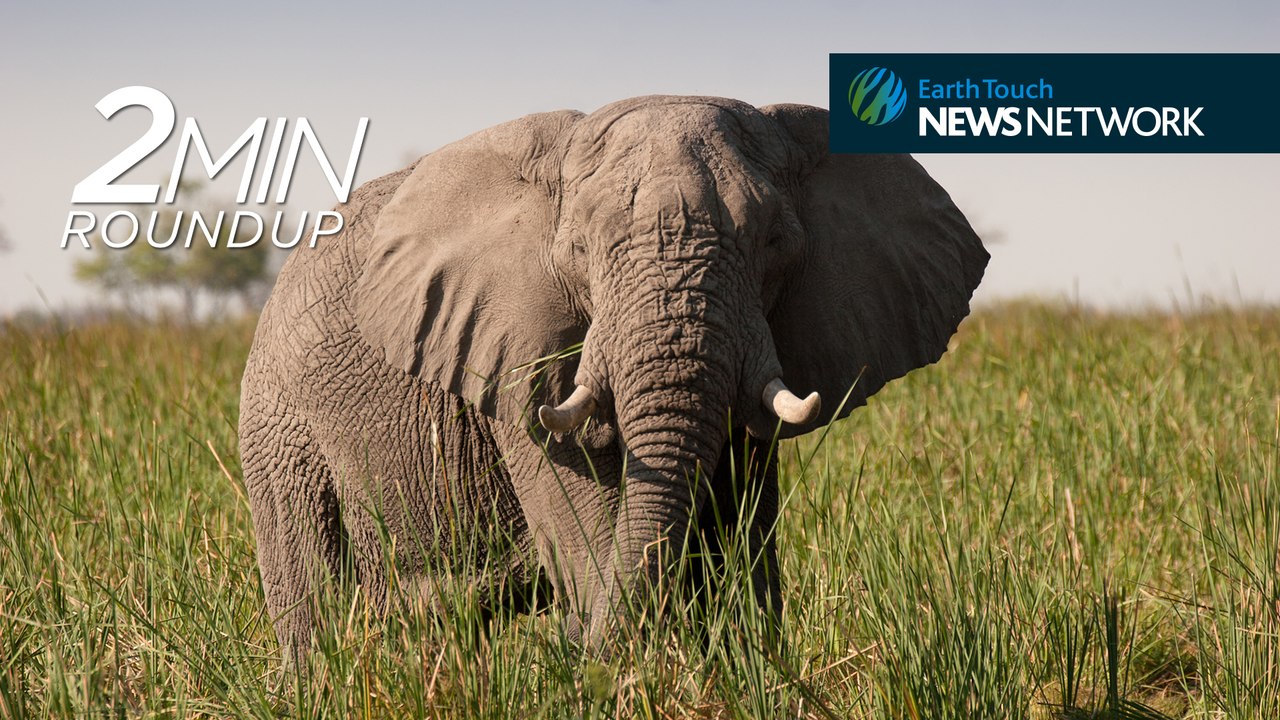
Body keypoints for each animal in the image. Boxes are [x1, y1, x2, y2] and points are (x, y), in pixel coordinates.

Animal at [238, 95, 988, 660]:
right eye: (579, 250)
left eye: (774, 243)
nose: (579, 643)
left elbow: (742, 525)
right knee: (311, 595)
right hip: (277, 426)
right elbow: (583, 511)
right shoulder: (517, 356)